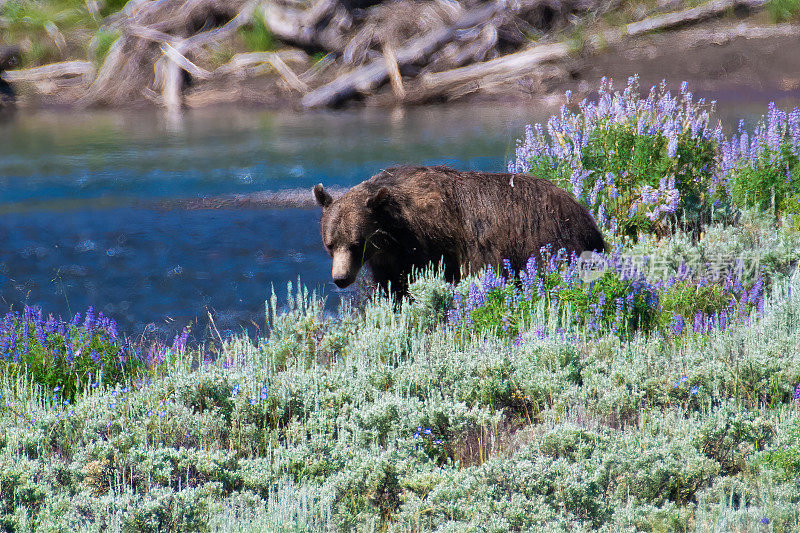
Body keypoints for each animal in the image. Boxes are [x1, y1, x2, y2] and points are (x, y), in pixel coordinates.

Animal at [316, 165, 604, 296]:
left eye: (356, 243)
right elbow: (393, 289)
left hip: (546, 238)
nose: (340, 278)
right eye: (330, 244)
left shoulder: (432, 247)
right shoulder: (387, 261)